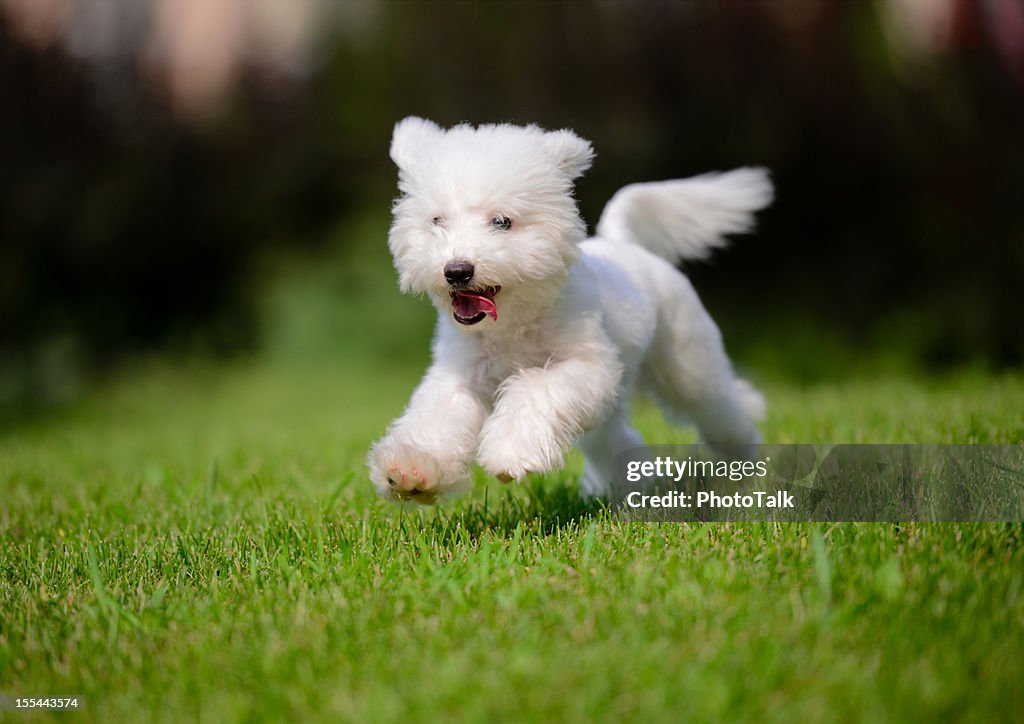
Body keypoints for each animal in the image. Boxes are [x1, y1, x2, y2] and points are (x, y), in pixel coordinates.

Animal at [368, 117, 770, 503]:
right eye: (437, 221)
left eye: (502, 221)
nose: (456, 271)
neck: (514, 325)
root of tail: (622, 242)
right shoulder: (461, 375)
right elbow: (437, 419)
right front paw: (412, 470)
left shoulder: (588, 365)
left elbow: (536, 389)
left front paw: (511, 451)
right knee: (616, 440)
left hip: (688, 362)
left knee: (723, 406)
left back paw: (744, 464)